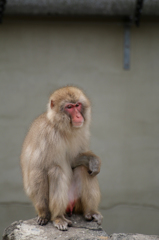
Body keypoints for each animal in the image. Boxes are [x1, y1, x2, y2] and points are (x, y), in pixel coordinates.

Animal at [20, 86, 102, 231]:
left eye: (77, 105)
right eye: (69, 107)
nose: (78, 116)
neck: (61, 127)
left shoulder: (81, 133)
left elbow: (74, 160)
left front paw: (93, 160)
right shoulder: (46, 136)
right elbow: (38, 171)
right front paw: (44, 214)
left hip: (76, 202)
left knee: (83, 168)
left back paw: (90, 212)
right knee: (55, 171)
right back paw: (58, 216)